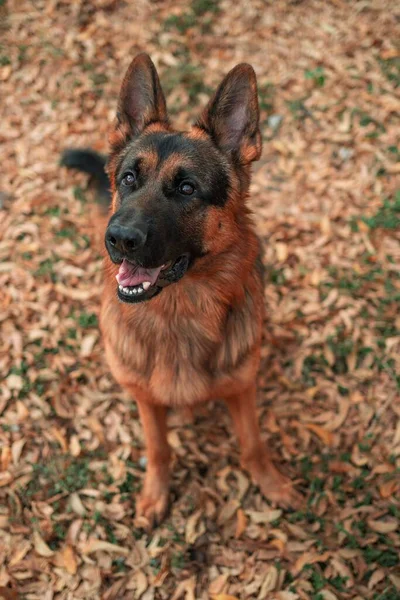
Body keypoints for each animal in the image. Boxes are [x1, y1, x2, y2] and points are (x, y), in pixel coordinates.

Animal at [61, 54, 300, 528]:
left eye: (187, 188)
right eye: (129, 179)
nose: (118, 239)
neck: (176, 313)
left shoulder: (241, 389)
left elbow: (252, 444)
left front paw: (273, 484)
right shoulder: (146, 401)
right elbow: (158, 449)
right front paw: (155, 495)